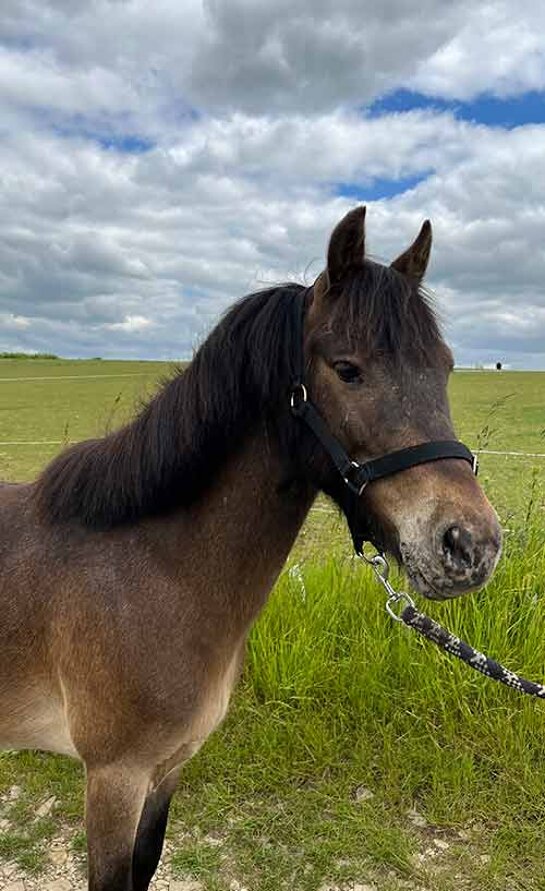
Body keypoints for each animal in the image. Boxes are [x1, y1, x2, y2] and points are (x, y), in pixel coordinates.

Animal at [0, 206, 500, 888]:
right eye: (347, 369)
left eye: (445, 367)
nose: (471, 545)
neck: (153, 572)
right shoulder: (113, 779)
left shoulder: (168, 770)